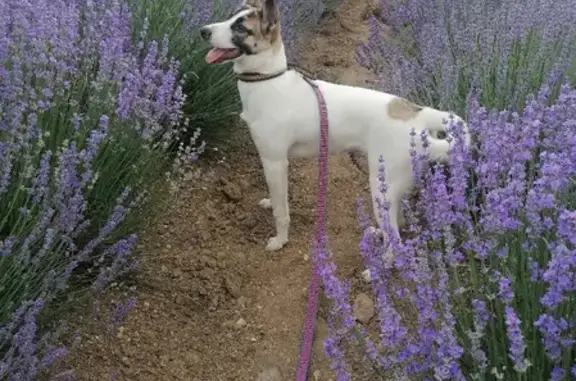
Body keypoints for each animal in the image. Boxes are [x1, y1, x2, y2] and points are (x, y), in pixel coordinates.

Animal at [200, 0, 470, 276]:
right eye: (230, 17)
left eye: (240, 28)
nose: (203, 31)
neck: (268, 78)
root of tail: (416, 112)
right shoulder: (273, 162)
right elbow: (276, 200)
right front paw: (268, 202)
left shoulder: (275, 162)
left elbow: (281, 212)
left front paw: (280, 240)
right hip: (393, 187)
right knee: (399, 221)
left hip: (380, 185)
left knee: (396, 238)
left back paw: (378, 270)